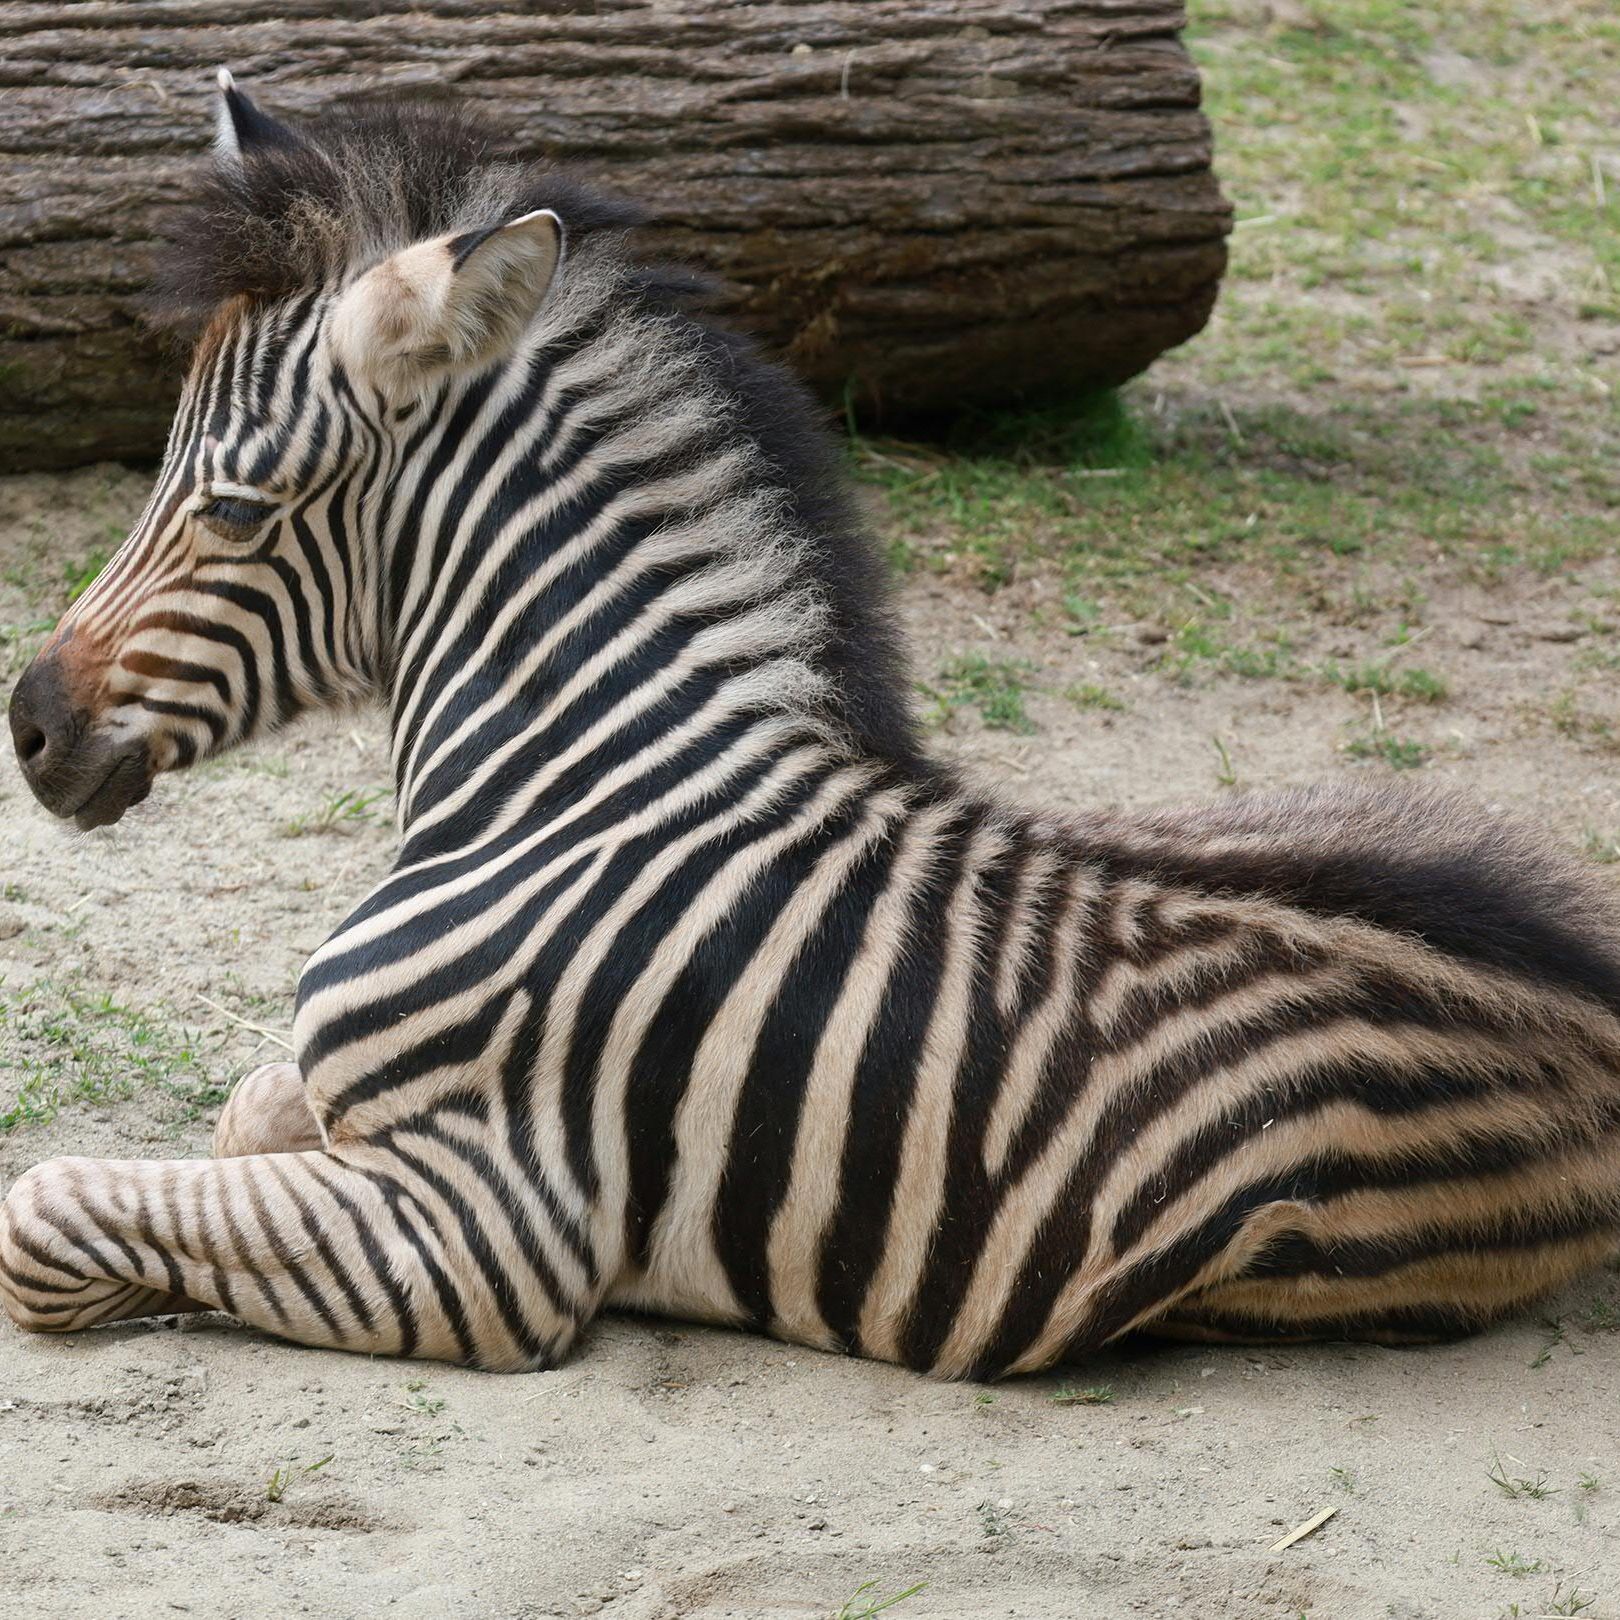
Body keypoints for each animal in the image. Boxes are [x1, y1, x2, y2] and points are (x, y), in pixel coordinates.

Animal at [3, 75, 1619, 1380]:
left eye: (231, 509)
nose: (27, 722)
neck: (571, 791)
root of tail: (1586, 1014)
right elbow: (249, 1107)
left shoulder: (487, 1229)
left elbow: (46, 1215)